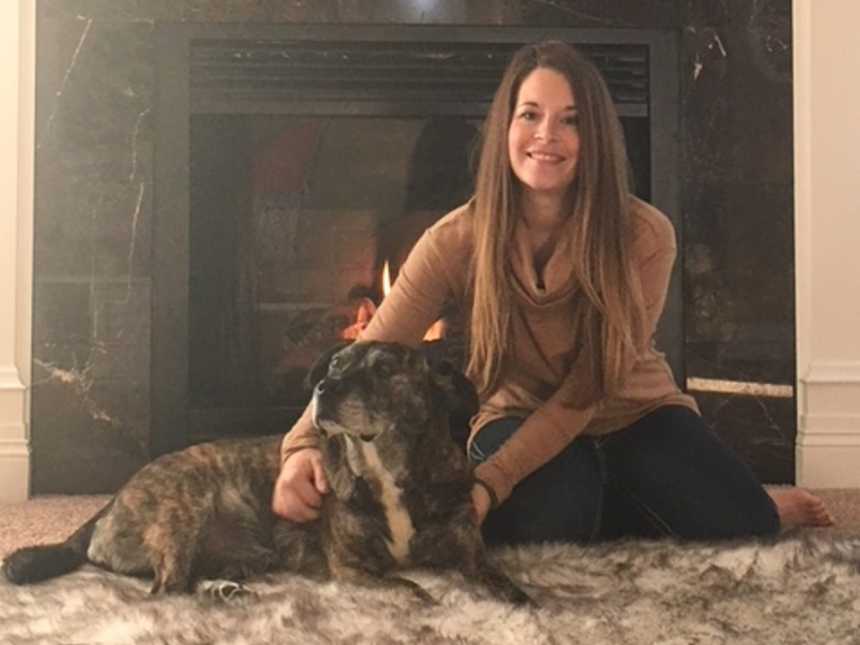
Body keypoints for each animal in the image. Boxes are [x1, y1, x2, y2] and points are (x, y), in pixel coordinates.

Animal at [3, 342, 532, 604]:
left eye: (384, 370)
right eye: (335, 364)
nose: (324, 388)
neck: (385, 467)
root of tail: (108, 505)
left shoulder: (469, 550)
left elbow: (495, 576)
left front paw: (519, 596)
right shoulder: (350, 567)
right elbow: (411, 587)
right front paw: (426, 596)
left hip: (240, 553)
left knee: (189, 581)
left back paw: (224, 591)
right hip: (185, 506)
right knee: (165, 591)